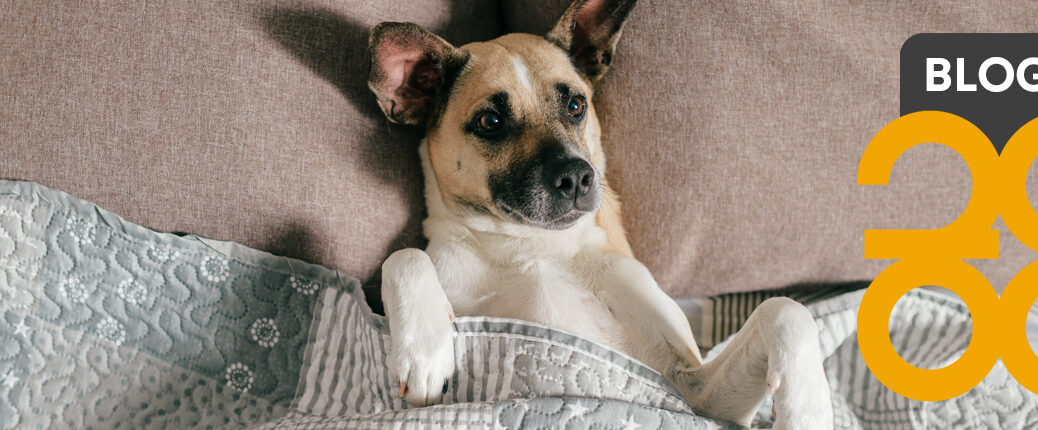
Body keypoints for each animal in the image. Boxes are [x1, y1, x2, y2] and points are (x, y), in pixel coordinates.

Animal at [367, 1, 833, 428]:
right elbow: (405, 256)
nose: (576, 177)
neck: (535, 247)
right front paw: (424, 349)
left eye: (576, 105)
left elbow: (784, 308)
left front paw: (807, 407)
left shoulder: (693, 393)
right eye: (490, 121)